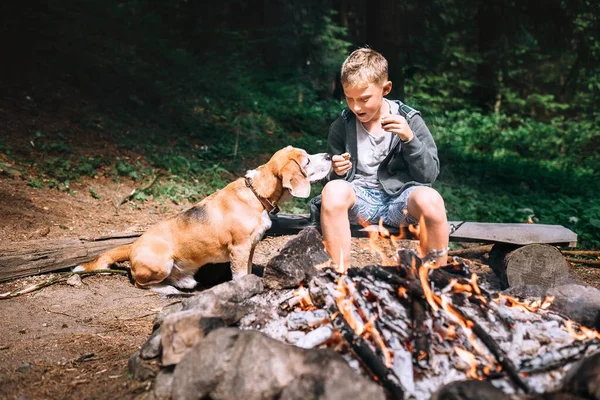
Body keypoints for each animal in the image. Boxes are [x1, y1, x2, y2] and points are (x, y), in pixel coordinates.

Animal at [75, 145, 332, 292]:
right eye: (307, 161)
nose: (330, 155)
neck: (256, 193)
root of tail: (132, 245)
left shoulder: (250, 248)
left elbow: (249, 271)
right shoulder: (239, 249)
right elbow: (240, 275)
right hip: (161, 264)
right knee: (143, 283)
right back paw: (169, 290)